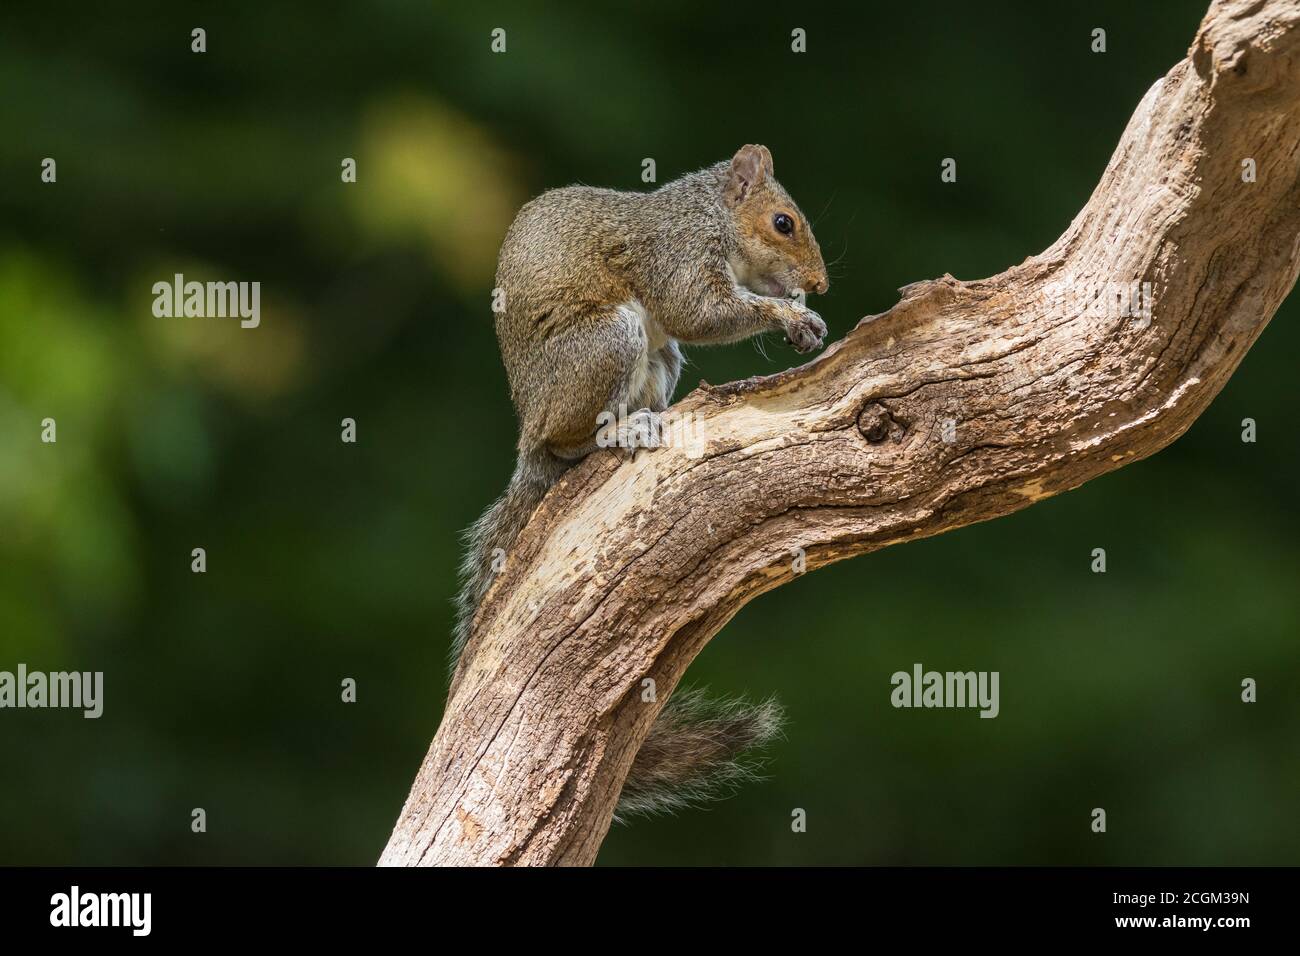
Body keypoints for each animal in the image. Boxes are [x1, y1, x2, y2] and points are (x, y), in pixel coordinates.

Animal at [454, 144, 830, 818]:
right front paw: (789, 314)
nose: (819, 285)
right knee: (570, 440)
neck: (708, 218)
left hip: (659, 359)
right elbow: (699, 312)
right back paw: (617, 432)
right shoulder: (676, 257)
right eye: (783, 223)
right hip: (606, 345)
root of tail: (530, 432)